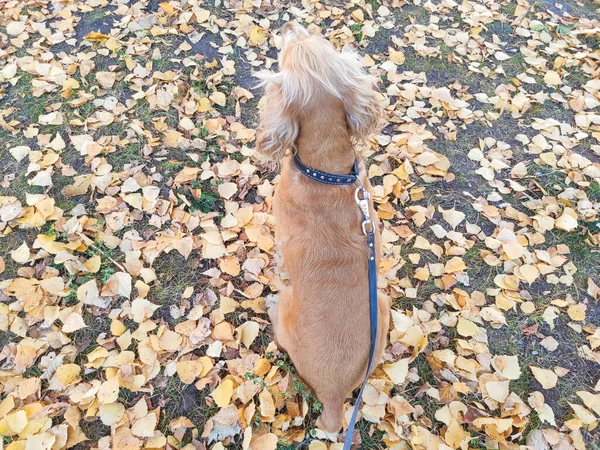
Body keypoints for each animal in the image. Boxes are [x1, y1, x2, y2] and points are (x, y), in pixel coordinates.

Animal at [255, 22, 392, 434]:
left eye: (288, 50)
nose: (289, 25)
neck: (327, 169)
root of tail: (333, 398)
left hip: (288, 303)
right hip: (384, 305)